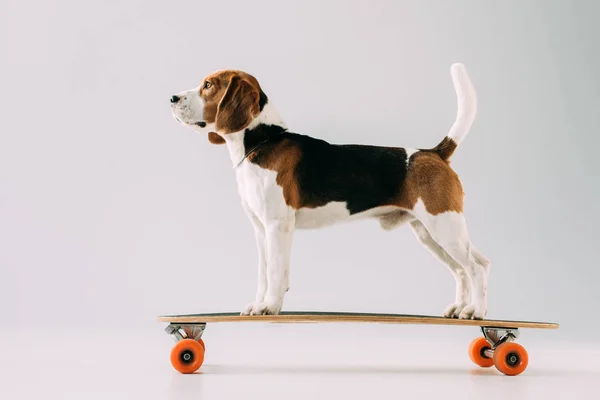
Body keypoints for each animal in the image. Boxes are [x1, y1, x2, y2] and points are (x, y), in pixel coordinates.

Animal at [171, 63, 490, 318]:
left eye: (208, 85)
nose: (171, 98)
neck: (262, 141)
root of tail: (434, 152)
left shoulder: (277, 226)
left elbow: (276, 272)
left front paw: (270, 306)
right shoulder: (260, 229)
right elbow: (263, 273)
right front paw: (259, 304)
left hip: (444, 228)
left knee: (476, 267)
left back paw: (476, 311)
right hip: (430, 233)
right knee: (464, 269)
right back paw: (460, 308)